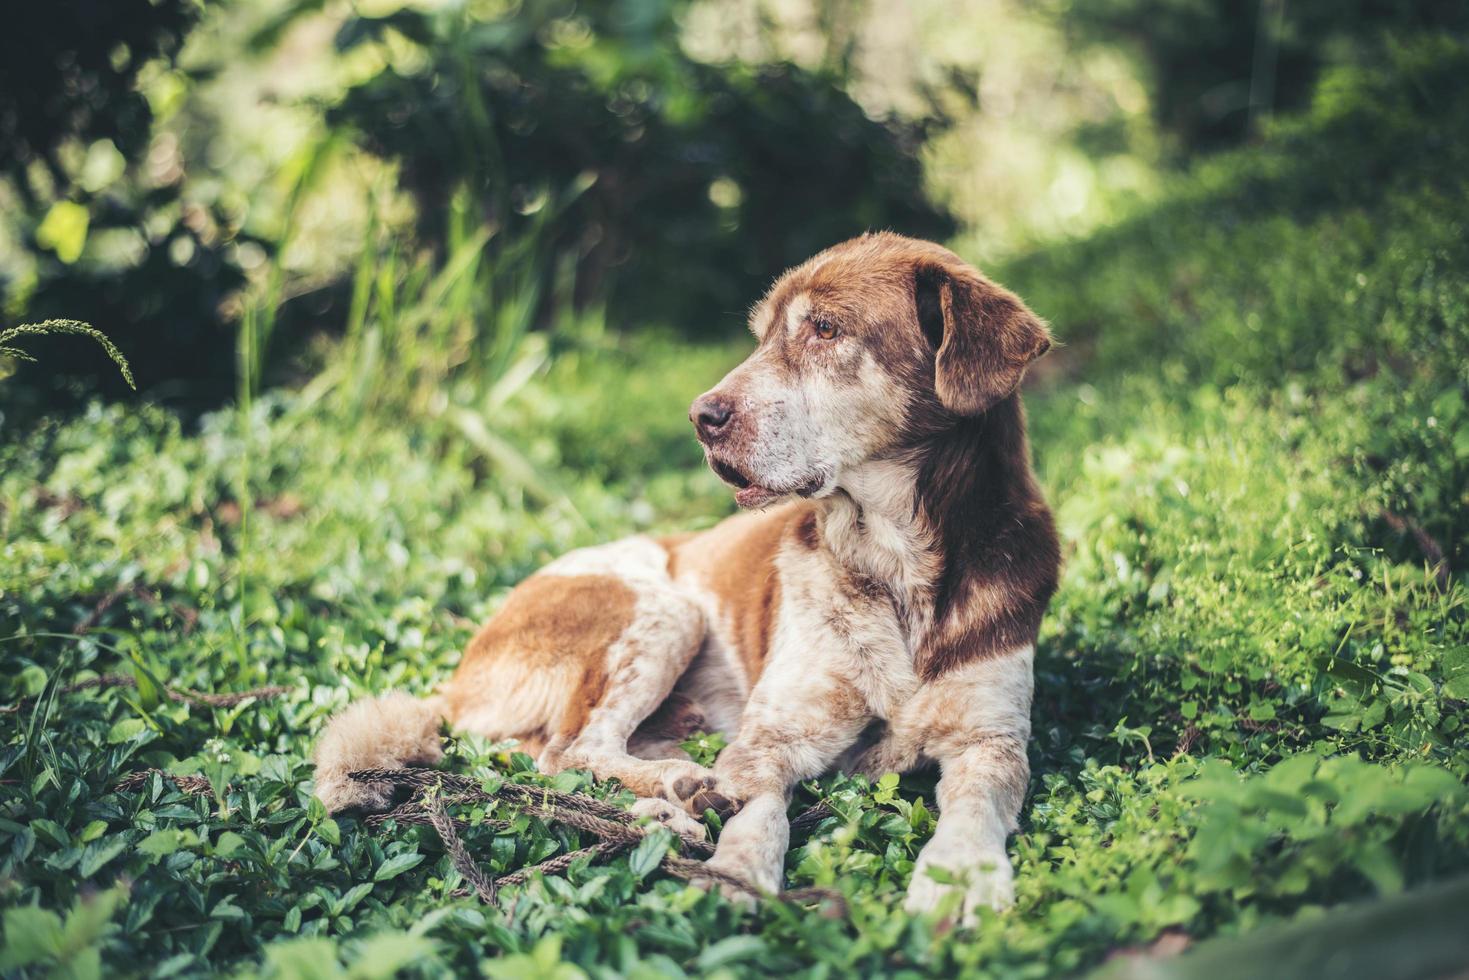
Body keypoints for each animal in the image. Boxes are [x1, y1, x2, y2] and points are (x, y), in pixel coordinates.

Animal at [315, 233, 1063, 922]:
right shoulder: (772, 738)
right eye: (761, 338)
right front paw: (738, 872)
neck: (895, 566)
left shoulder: (990, 740)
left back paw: (669, 808)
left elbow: (974, 807)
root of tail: (456, 677)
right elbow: (759, 809)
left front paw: (962, 876)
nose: (702, 417)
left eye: (825, 329)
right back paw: (678, 788)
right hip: (661, 609)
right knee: (568, 750)